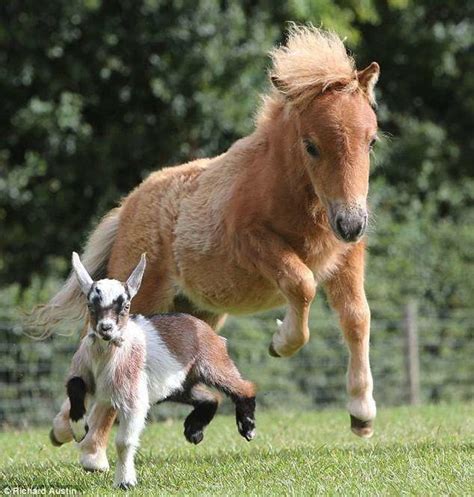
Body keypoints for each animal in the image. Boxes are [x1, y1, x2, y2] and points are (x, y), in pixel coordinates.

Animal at [57, 254, 258, 486]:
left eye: (125, 306)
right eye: (90, 305)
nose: (106, 328)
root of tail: (202, 326)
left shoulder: (133, 400)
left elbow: (124, 442)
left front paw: (125, 482)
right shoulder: (84, 373)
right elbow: (74, 384)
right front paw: (78, 426)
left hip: (213, 363)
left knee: (243, 387)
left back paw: (247, 427)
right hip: (175, 385)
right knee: (210, 397)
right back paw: (194, 431)